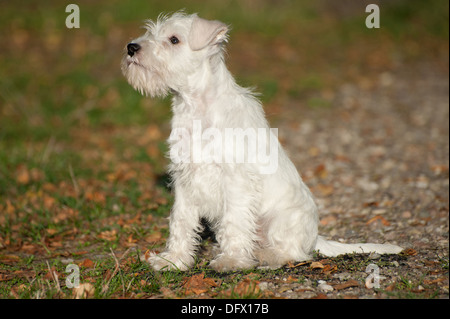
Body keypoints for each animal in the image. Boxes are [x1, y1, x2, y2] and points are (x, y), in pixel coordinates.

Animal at [121, 12, 402, 272]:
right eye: (150, 32)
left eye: (174, 39)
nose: (131, 47)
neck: (198, 106)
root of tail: (315, 237)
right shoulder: (184, 179)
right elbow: (180, 222)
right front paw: (173, 260)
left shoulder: (235, 179)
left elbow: (234, 222)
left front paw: (231, 261)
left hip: (280, 220)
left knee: (294, 252)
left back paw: (267, 256)